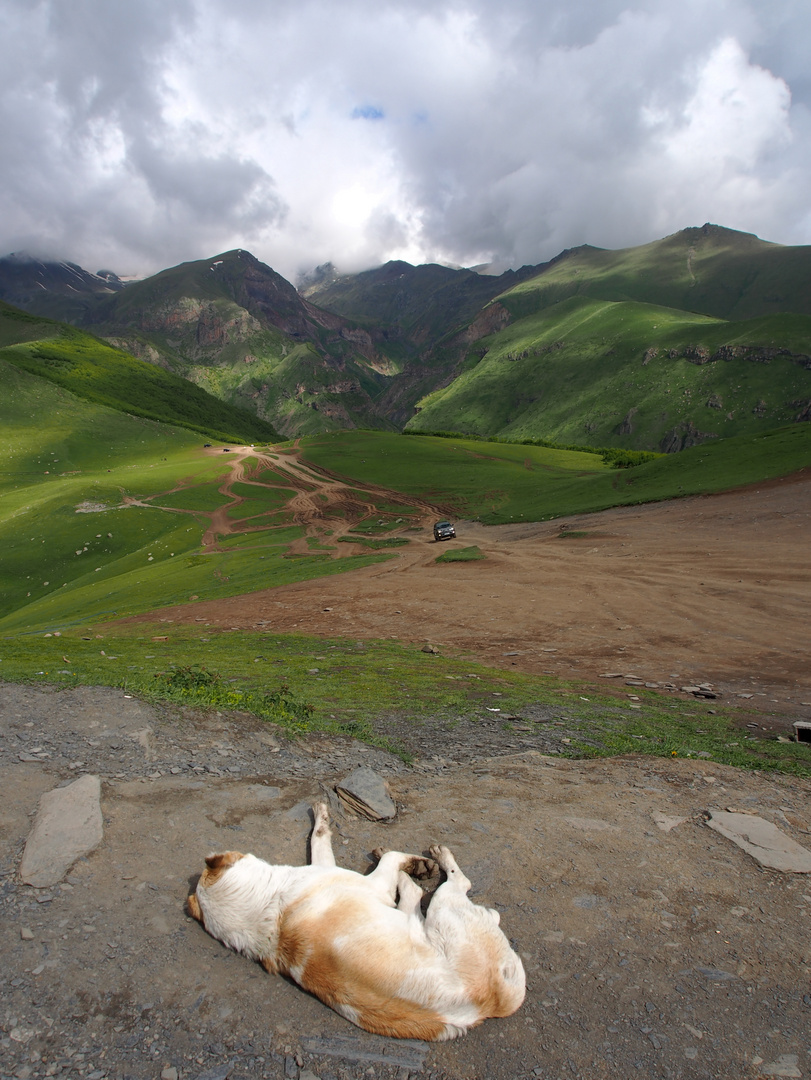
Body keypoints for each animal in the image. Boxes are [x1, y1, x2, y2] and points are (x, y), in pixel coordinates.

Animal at [185, 803, 526, 1036]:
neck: (269, 909)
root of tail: (487, 1006)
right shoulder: (371, 885)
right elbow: (391, 859)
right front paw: (408, 862)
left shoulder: (323, 865)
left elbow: (318, 839)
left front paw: (321, 816)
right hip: (444, 906)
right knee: (456, 885)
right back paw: (433, 861)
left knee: (415, 899)